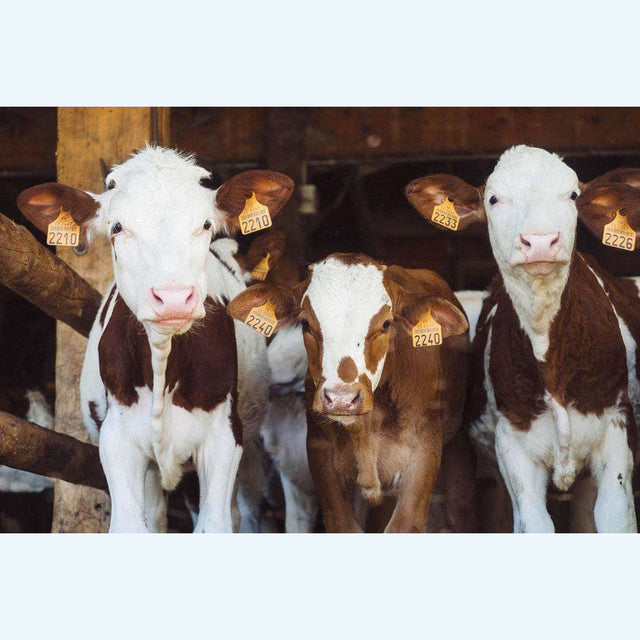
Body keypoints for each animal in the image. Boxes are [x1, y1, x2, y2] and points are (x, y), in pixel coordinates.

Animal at [17, 146, 293, 532]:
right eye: (117, 227)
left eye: (205, 224)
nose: (174, 298)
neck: (163, 365)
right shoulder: (116, 440)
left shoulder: (223, 438)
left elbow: (214, 523)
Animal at [406, 144, 640, 532]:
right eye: (493, 198)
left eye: (573, 195)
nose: (541, 241)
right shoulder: (512, 447)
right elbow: (533, 523)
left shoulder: (617, 426)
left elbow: (614, 518)